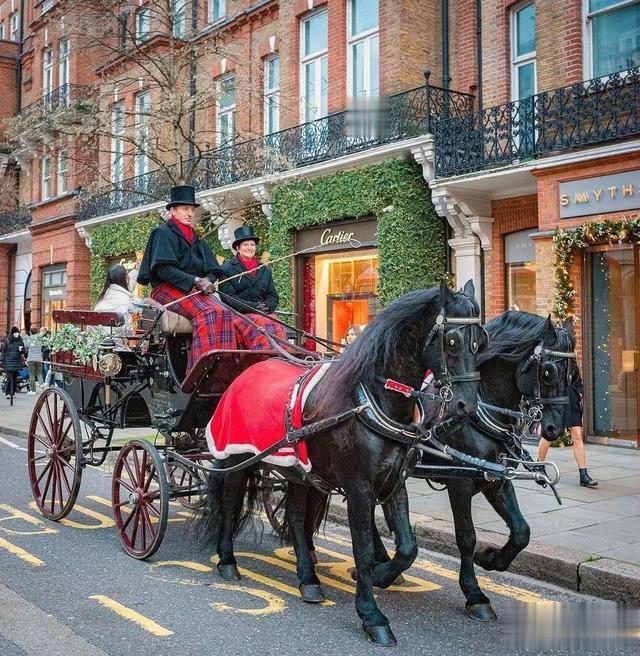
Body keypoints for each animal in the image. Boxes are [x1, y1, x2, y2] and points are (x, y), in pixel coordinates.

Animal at [199, 282, 484, 644]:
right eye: (453, 340)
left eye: (480, 341)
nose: (467, 406)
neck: (372, 400)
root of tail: (249, 369)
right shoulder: (358, 487)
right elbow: (362, 546)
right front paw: (372, 614)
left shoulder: (394, 482)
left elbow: (408, 547)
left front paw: (383, 574)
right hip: (238, 456)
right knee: (231, 501)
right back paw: (227, 560)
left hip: (299, 471)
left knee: (295, 517)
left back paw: (308, 579)